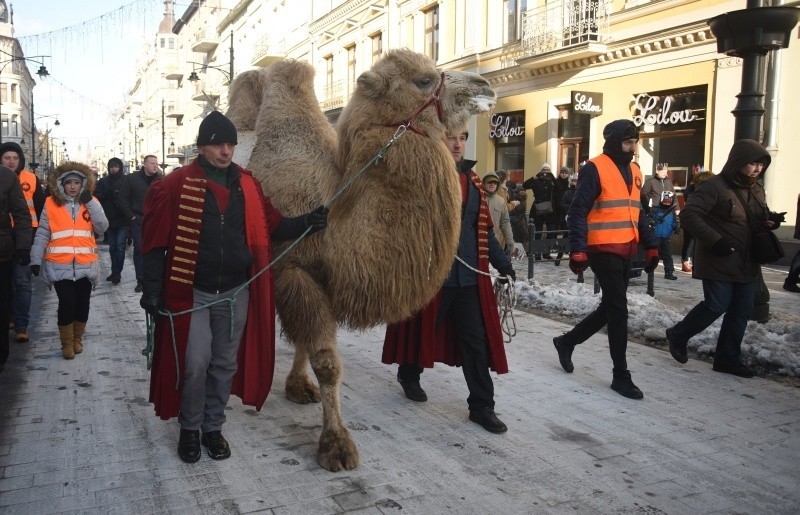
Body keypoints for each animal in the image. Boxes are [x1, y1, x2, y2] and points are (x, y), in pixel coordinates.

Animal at [225, 48, 496, 472]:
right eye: (423, 80)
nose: (485, 86)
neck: (334, 207)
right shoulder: (293, 269)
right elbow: (327, 363)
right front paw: (336, 446)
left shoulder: (324, 279)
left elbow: (308, 345)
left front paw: (299, 389)